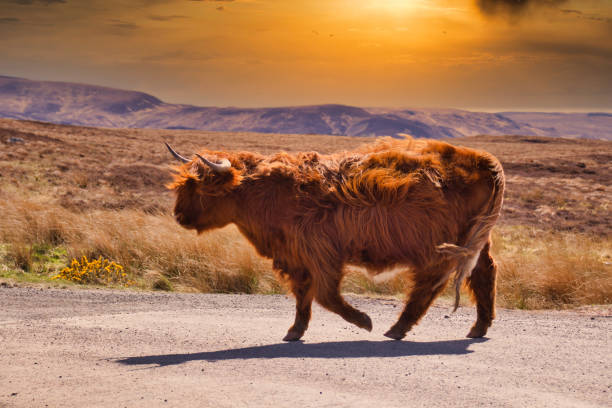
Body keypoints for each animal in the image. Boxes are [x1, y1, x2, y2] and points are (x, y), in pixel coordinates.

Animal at [165, 137, 504, 342]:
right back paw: (478, 327)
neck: (264, 193)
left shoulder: (321, 253)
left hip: (441, 246)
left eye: (200, 188)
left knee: (430, 284)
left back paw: (396, 328)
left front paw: (364, 320)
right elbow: (303, 295)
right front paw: (295, 331)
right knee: (484, 272)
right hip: (474, 240)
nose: (179, 215)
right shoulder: (296, 257)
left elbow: (325, 295)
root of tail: (481, 159)